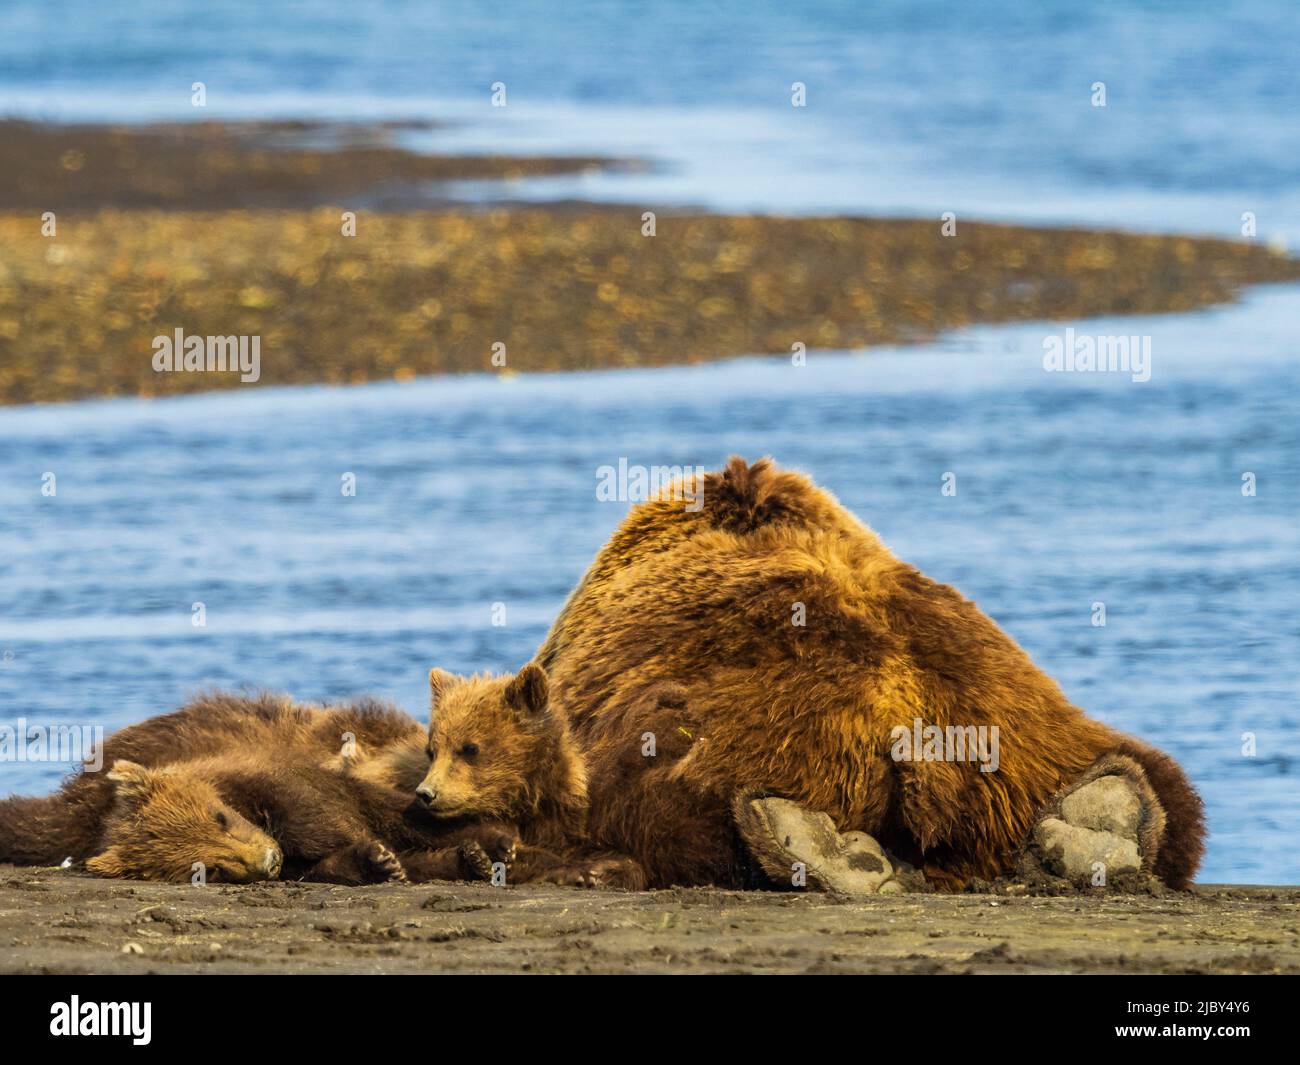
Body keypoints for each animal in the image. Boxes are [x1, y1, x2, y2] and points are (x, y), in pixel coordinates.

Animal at [423, 457, 1205, 892]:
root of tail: (908, 717)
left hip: (734, 722)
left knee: (674, 803)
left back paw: (808, 846)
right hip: (1024, 717)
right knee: (1159, 781)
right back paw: (1104, 818)